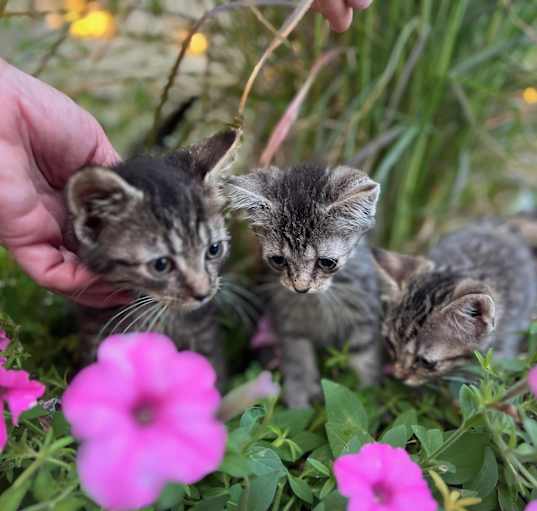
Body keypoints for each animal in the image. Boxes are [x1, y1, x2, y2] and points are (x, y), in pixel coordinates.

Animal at [225, 164, 382, 408]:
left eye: (327, 262)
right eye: (278, 260)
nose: (300, 288)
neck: (319, 300)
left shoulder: (363, 316)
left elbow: (365, 361)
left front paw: (372, 402)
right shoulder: (291, 327)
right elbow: (298, 366)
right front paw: (299, 405)